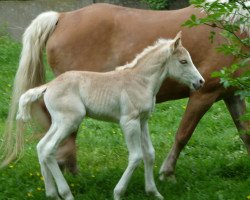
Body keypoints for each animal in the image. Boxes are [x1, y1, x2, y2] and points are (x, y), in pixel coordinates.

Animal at [1, 1, 250, 180]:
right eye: (183, 61)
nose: (198, 80)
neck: (232, 27)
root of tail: (62, 17)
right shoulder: (203, 94)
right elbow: (183, 134)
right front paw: (167, 173)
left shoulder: (231, 94)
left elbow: (245, 132)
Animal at [15, 32, 204, 199]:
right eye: (183, 61)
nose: (200, 82)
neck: (141, 81)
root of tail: (48, 86)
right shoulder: (129, 121)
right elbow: (136, 156)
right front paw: (118, 193)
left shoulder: (143, 121)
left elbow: (149, 154)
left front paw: (154, 192)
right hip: (70, 121)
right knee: (48, 148)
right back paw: (66, 194)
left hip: (59, 122)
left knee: (41, 147)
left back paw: (52, 193)